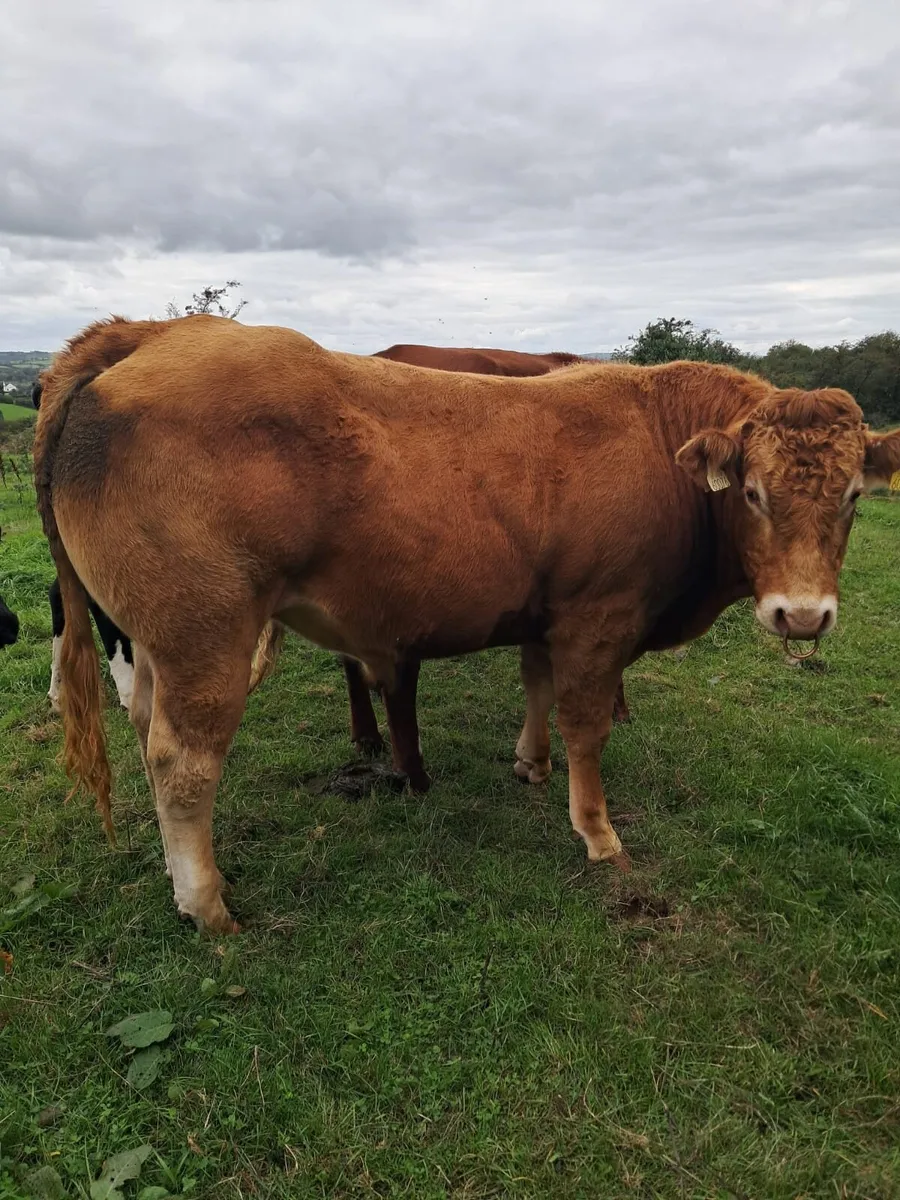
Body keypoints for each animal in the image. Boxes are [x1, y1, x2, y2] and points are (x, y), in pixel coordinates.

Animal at [35, 315, 900, 934]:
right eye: (753, 493)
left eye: (854, 495)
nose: (802, 614)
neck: (660, 442)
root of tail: (157, 332)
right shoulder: (598, 619)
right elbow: (587, 726)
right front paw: (597, 832)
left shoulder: (547, 615)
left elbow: (537, 689)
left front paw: (531, 763)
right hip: (205, 635)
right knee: (182, 764)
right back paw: (207, 903)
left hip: (156, 638)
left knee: (146, 726)